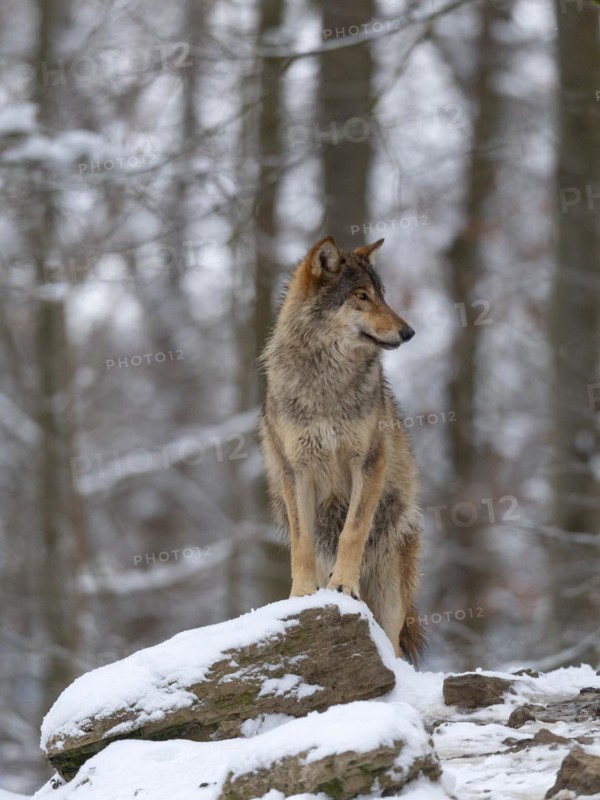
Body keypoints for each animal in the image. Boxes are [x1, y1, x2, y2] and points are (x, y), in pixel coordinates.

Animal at [258, 236, 423, 661]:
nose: (409, 332)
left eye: (383, 295)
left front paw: (344, 585)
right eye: (361, 296)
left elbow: (354, 529)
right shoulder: (295, 469)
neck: (326, 382)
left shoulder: (368, 461)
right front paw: (302, 594)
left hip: (390, 593)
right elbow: (301, 543)